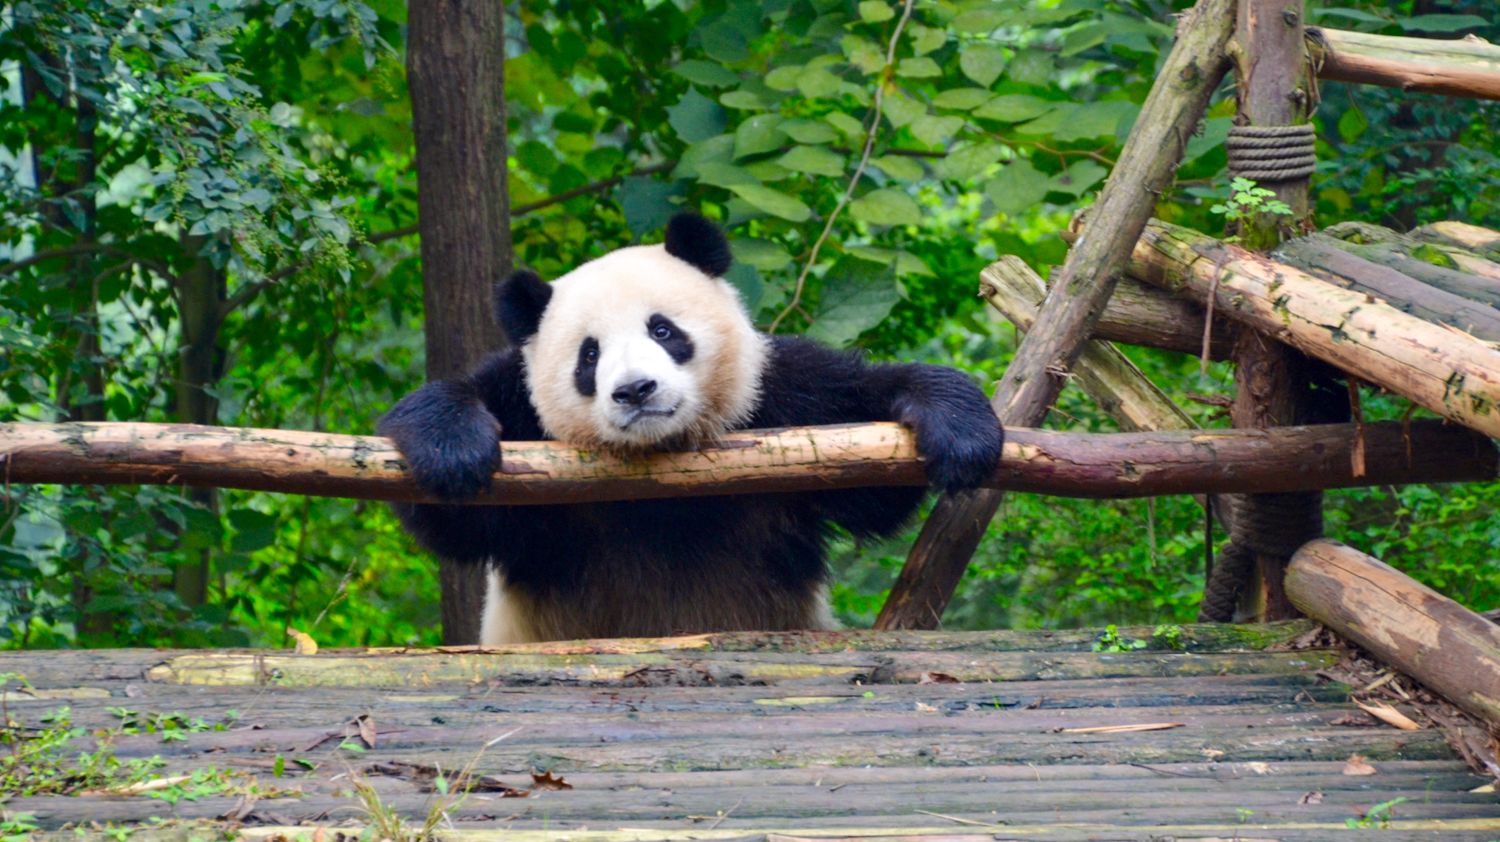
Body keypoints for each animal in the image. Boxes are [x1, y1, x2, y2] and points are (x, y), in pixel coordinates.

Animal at [378, 212, 1004, 644]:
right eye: (588, 355)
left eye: (662, 330)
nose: (635, 390)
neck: (662, 458)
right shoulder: (525, 426)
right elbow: (456, 516)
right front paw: (453, 448)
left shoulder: (780, 399)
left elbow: (870, 468)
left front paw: (958, 427)